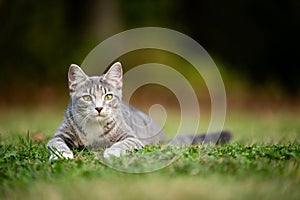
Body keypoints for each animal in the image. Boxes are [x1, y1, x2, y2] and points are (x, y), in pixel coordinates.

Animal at [47, 61, 231, 160]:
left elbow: (122, 144)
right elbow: (57, 143)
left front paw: (111, 151)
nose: (99, 108)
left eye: (108, 96)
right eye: (87, 98)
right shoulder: (59, 135)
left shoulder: (132, 138)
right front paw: (62, 154)